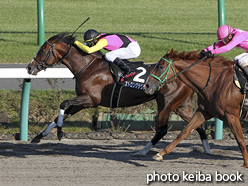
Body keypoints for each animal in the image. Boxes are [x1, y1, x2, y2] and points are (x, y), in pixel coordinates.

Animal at [26, 33, 209, 155]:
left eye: (42, 50)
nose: (29, 67)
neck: (88, 66)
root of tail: (183, 73)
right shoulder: (82, 102)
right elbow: (60, 115)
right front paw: (39, 136)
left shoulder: (91, 100)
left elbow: (63, 104)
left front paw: (59, 133)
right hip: (181, 106)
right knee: (198, 125)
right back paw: (206, 150)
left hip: (167, 104)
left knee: (162, 130)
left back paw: (142, 151)